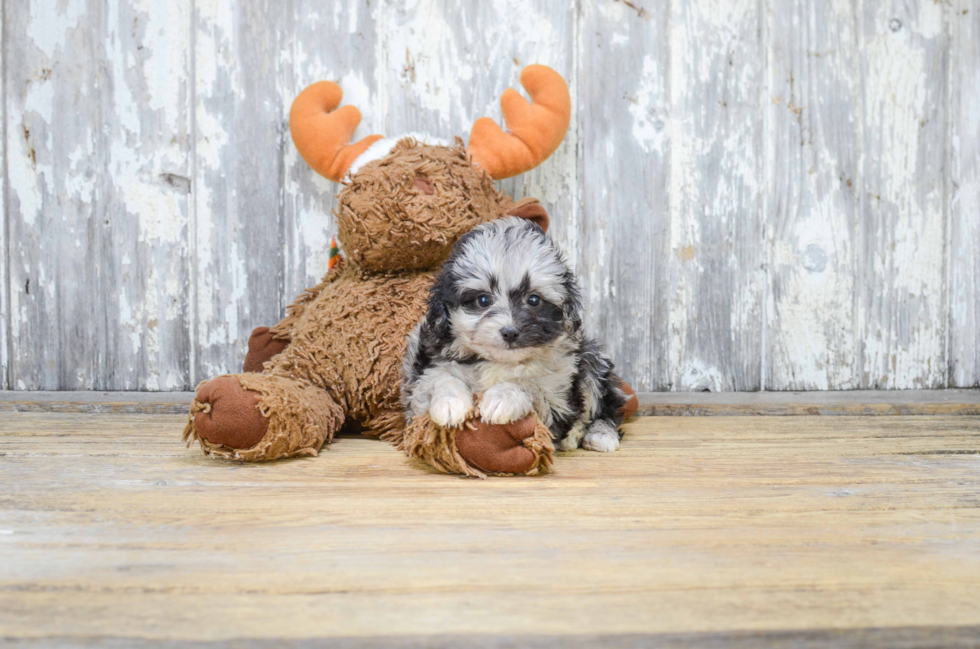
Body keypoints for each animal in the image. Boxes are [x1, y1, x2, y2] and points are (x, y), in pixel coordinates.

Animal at [404, 216, 628, 450]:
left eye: (534, 300)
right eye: (483, 300)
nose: (510, 332)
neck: (500, 362)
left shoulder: (558, 400)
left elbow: (530, 386)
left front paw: (503, 396)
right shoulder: (424, 371)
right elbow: (439, 378)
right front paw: (450, 403)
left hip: (592, 360)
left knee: (606, 405)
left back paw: (600, 435)